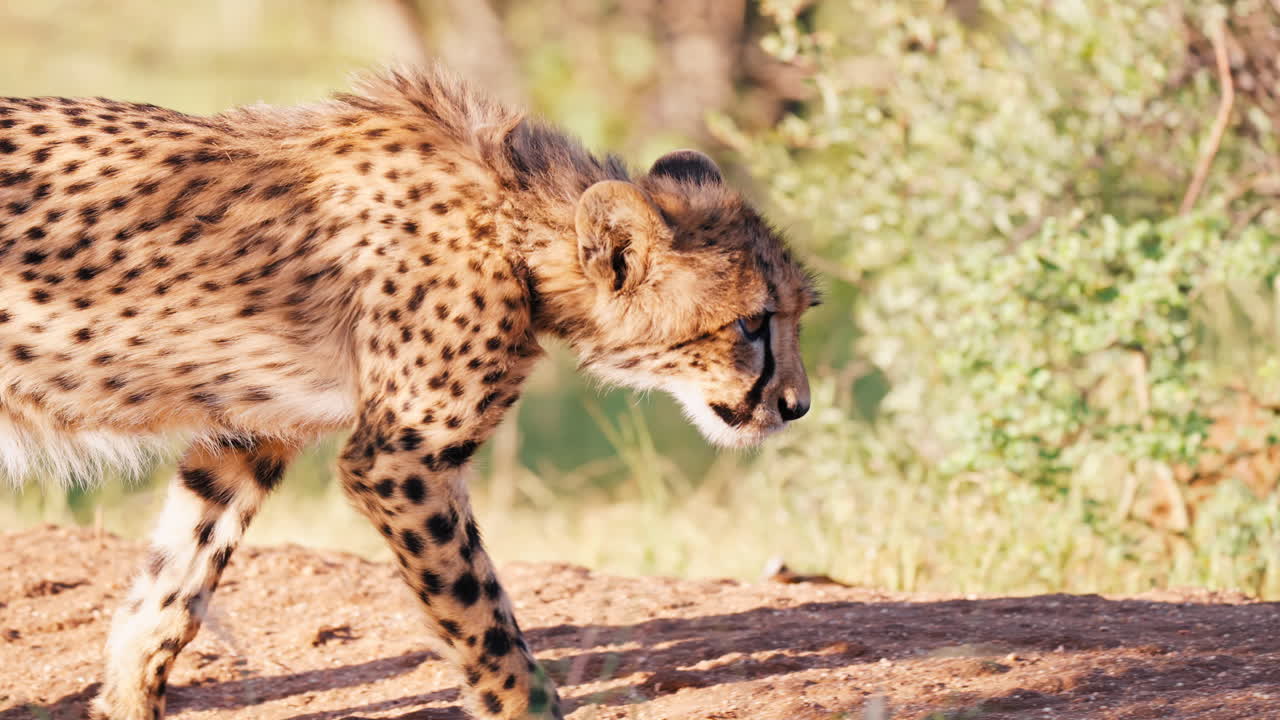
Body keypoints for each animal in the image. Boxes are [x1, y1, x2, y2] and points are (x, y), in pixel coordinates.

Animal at [0, 66, 817, 720]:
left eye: (796, 312)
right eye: (751, 323)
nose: (797, 406)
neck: (514, 224)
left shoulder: (250, 438)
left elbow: (174, 586)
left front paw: (125, 700)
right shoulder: (399, 459)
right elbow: (480, 611)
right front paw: (527, 706)